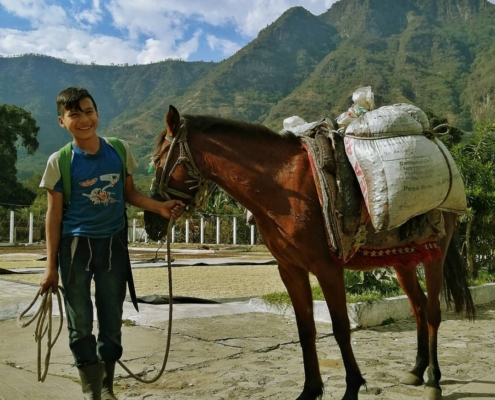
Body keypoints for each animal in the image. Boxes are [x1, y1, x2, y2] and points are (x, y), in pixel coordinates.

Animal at [148, 105, 476, 400]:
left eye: (158, 159)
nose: (152, 222)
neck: (281, 185)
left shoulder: (327, 268)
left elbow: (341, 328)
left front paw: (352, 388)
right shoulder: (290, 270)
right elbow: (306, 330)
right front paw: (310, 390)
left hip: (436, 255)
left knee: (432, 312)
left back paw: (433, 381)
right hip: (402, 260)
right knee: (418, 307)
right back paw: (417, 371)